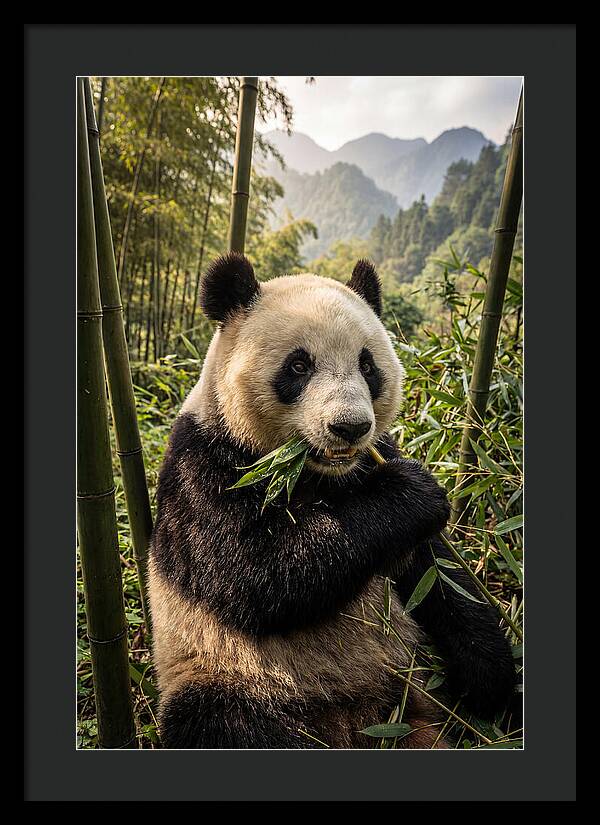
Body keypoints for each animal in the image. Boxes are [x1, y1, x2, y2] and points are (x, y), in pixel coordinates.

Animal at [148, 253, 516, 749]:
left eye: (367, 365)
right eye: (299, 366)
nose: (350, 427)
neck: (315, 472)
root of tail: (359, 721)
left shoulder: (376, 460)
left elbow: (439, 576)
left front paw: (490, 677)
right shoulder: (203, 464)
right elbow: (255, 573)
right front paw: (412, 493)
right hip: (228, 673)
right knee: (220, 721)